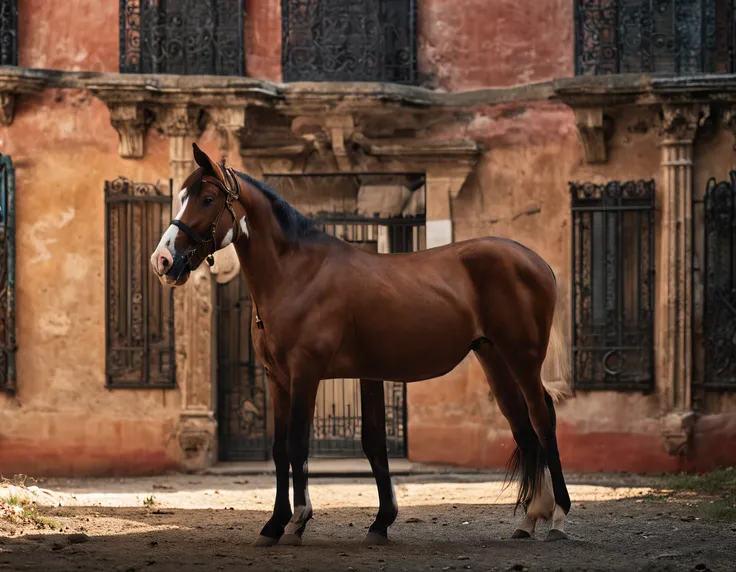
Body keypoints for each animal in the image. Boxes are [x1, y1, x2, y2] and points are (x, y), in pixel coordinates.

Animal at [150, 143, 572, 544]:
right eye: (180, 196)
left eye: (207, 198)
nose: (163, 260)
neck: (298, 273)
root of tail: (536, 261)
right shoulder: (284, 379)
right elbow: (317, 447)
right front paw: (281, 523)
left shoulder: (306, 374)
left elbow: (298, 444)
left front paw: (298, 520)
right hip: (494, 358)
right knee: (522, 425)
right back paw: (531, 518)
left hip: (523, 358)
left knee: (541, 418)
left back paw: (557, 515)